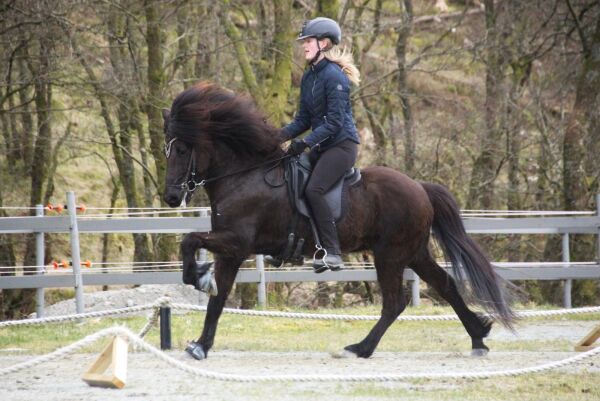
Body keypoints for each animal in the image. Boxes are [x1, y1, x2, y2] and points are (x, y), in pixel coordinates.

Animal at [164, 81, 516, 360]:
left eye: (180, 150)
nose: (170, 197)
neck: (245, 175)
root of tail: (420, 187)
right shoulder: (231, 249)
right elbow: (218, 297)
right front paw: (201, 343)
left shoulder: (236, 243)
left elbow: (190, 241)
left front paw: (198, 278)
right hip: (414, 253)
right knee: (445, 285)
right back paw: (478, 337)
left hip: (390, 255)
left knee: (394, 303)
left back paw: (360, 348)